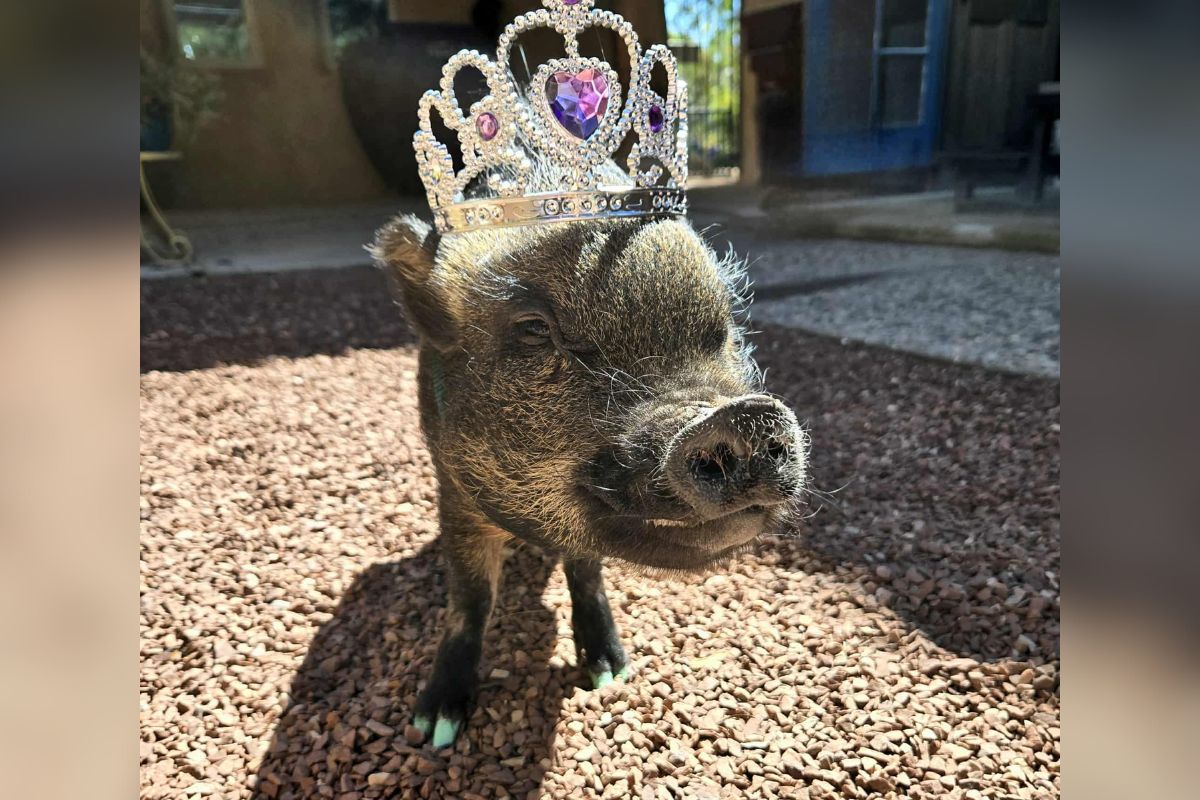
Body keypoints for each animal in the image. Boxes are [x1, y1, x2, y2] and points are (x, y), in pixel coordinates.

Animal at [370, 212, 807, 747]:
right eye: (533, 330)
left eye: (721, 331)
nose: (745, 417)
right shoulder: (453, 494)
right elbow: (471, 596)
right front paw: (435, 731)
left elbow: (586, 569)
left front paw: (610, 675)